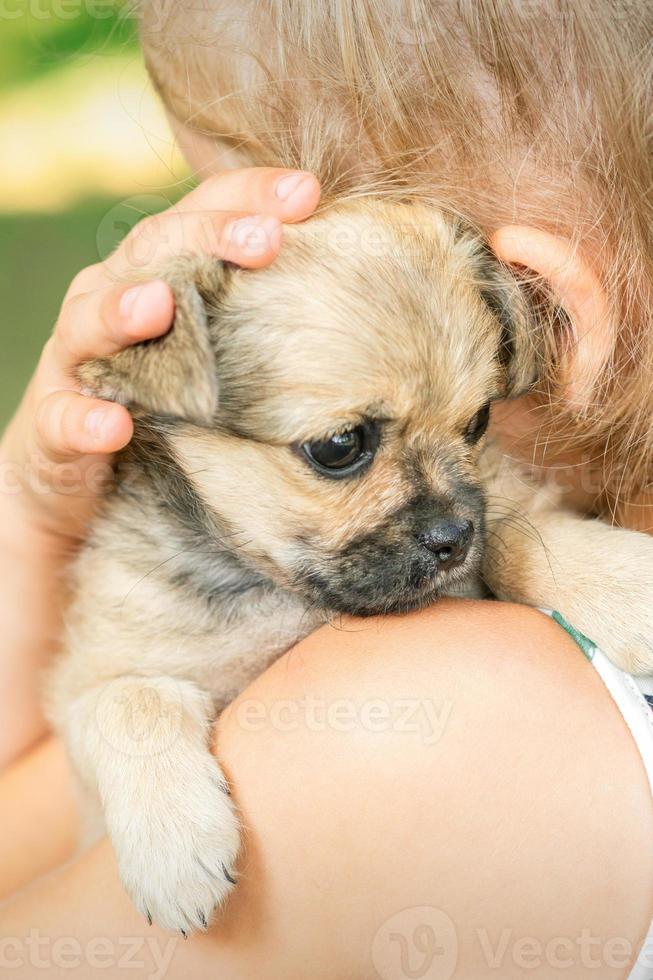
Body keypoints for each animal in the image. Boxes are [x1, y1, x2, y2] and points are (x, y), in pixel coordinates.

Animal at [48, 199, 652, 936]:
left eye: (478, 421)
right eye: (340, 445)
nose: (454, 537)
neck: (284, 592)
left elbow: (518, 535)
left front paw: (626, 588)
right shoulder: (87, 683)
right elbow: (129, 699)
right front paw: (173, 848)